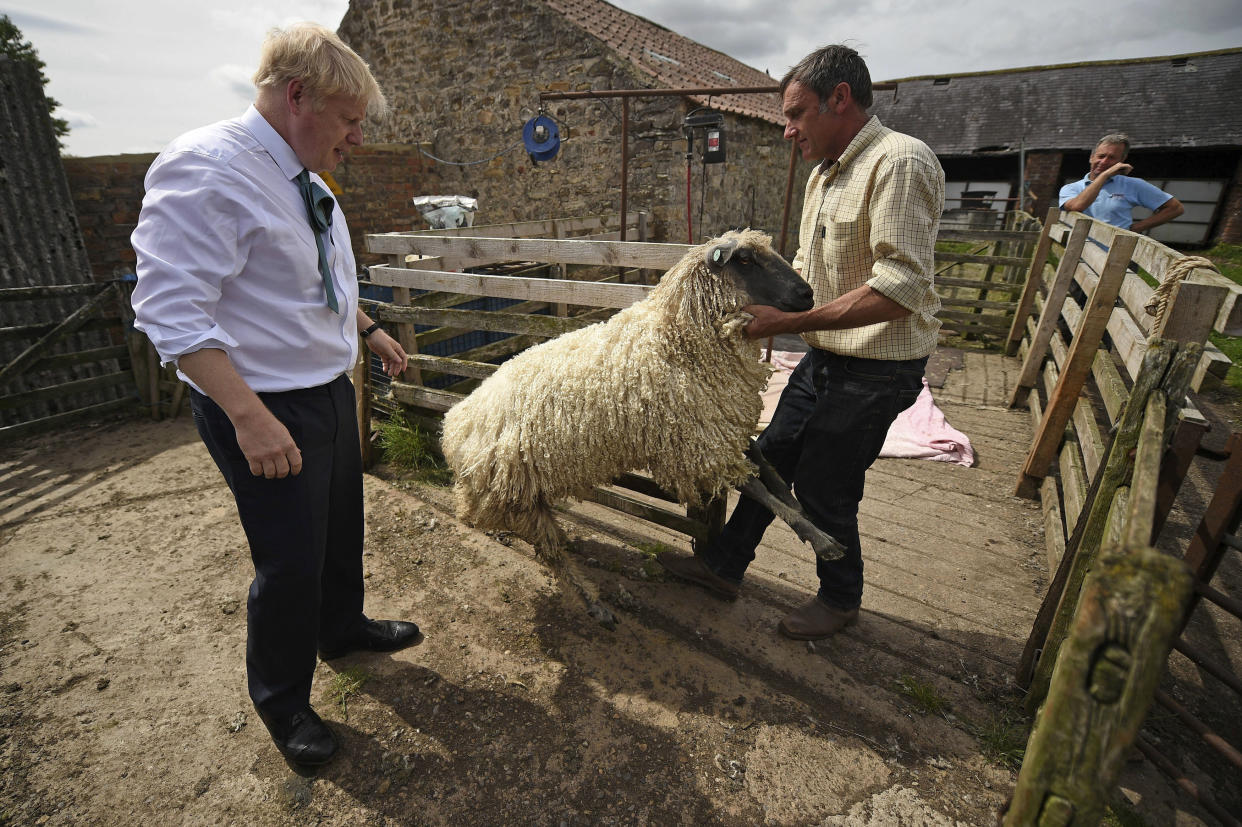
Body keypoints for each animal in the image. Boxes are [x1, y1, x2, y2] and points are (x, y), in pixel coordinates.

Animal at [442, 227, 839, 625]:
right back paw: (595, 605)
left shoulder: (723, 426)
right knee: (549, 553)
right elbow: (757, 489)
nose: (808, 294)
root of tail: (453, 426)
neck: (679, 337)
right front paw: (823, 542)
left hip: (527, 495)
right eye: (744, 259)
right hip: (512, 498)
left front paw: (808, 516)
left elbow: (771, 474)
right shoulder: (698, 445)